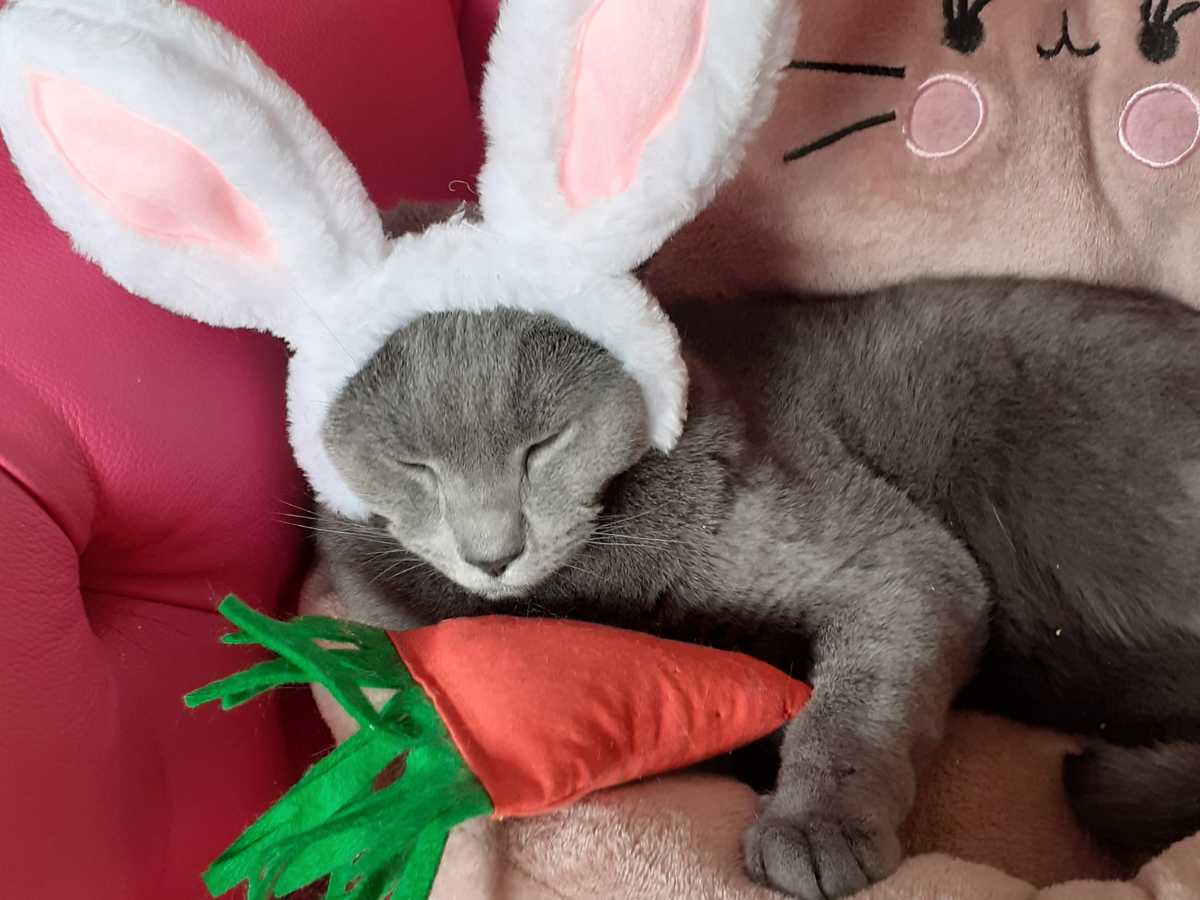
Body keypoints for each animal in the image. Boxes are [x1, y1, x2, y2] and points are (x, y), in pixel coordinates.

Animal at [316, 271, 1200, 897]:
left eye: (543, 445)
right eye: (414, 467)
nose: (493, 551)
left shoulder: (897, 558)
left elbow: (850, 709)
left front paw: (813, 829)